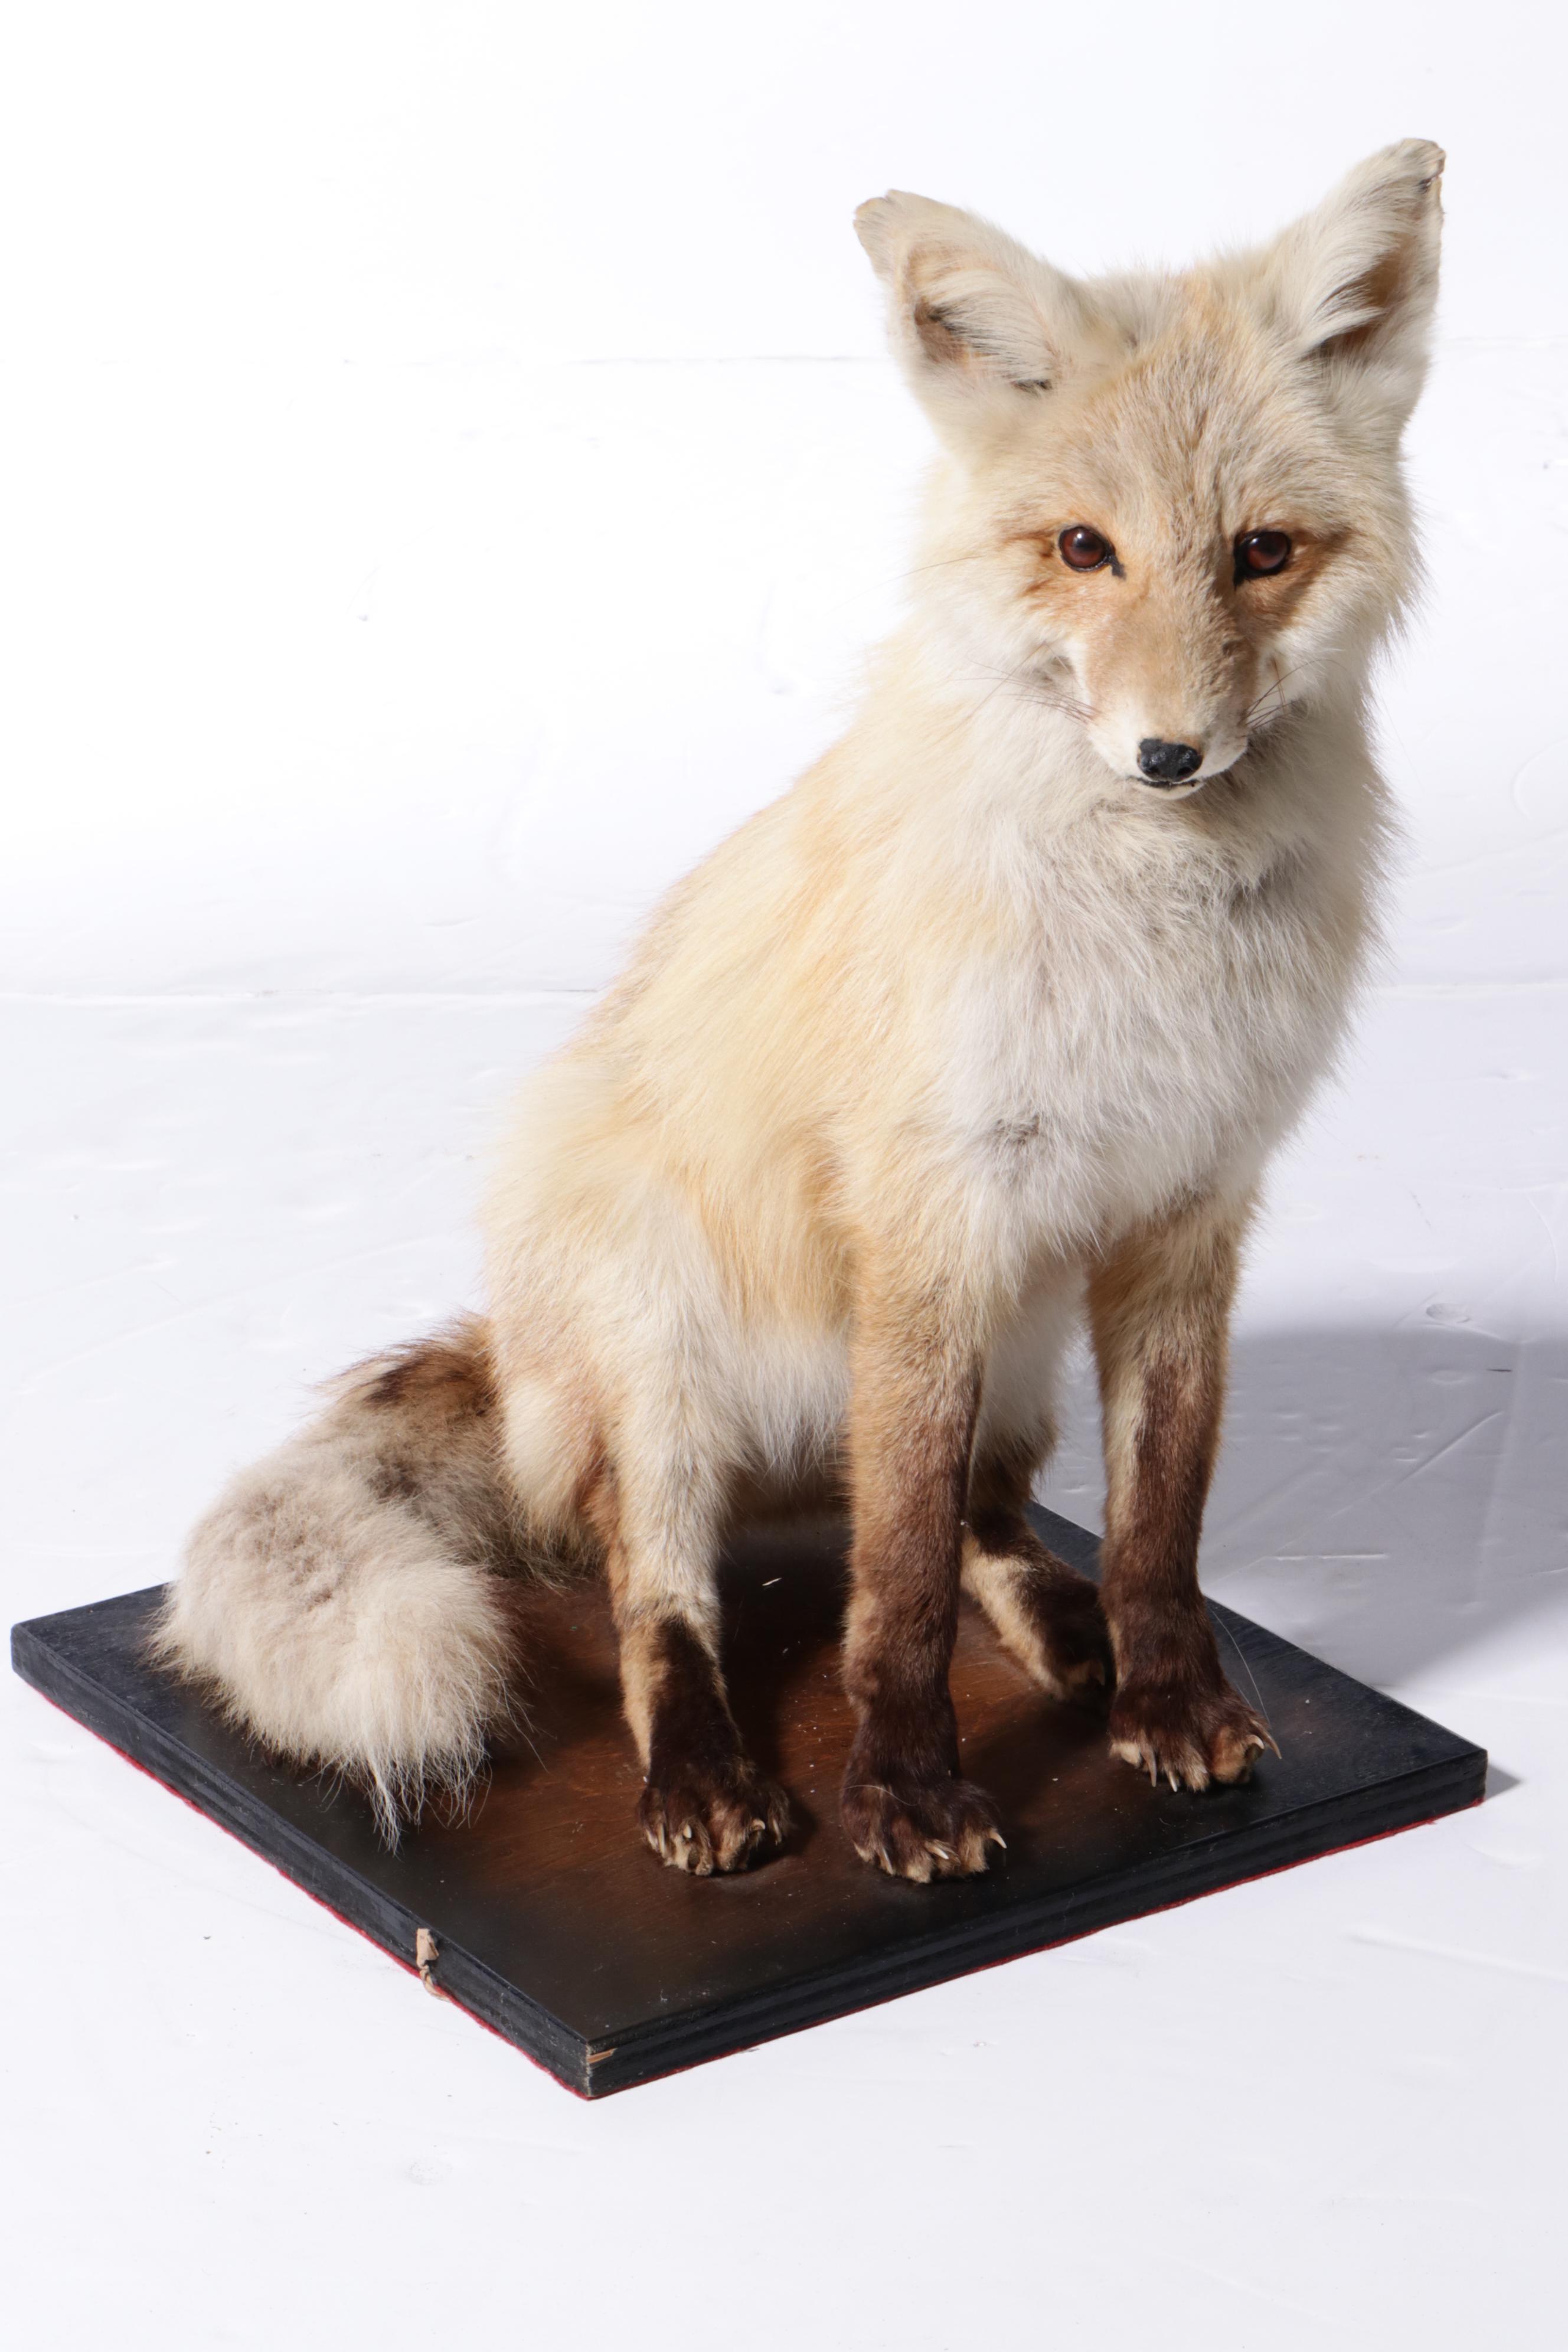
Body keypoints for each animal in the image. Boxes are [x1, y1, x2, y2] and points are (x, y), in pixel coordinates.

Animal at [160, 141, 1444, 1881]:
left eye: (1262, 553)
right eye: (1084, 551)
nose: (1169, 756)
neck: (1150, 935)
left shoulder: (1192, 1208)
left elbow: (1154, 1527)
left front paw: (1168, 1700)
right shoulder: (929, 1216)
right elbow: (888, 1584)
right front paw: (900, 1793)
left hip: (1018, 1351)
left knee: (983, 1522)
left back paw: (1072, 1638)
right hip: (663, 1353)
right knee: (665, 1595)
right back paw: (705, 1775)